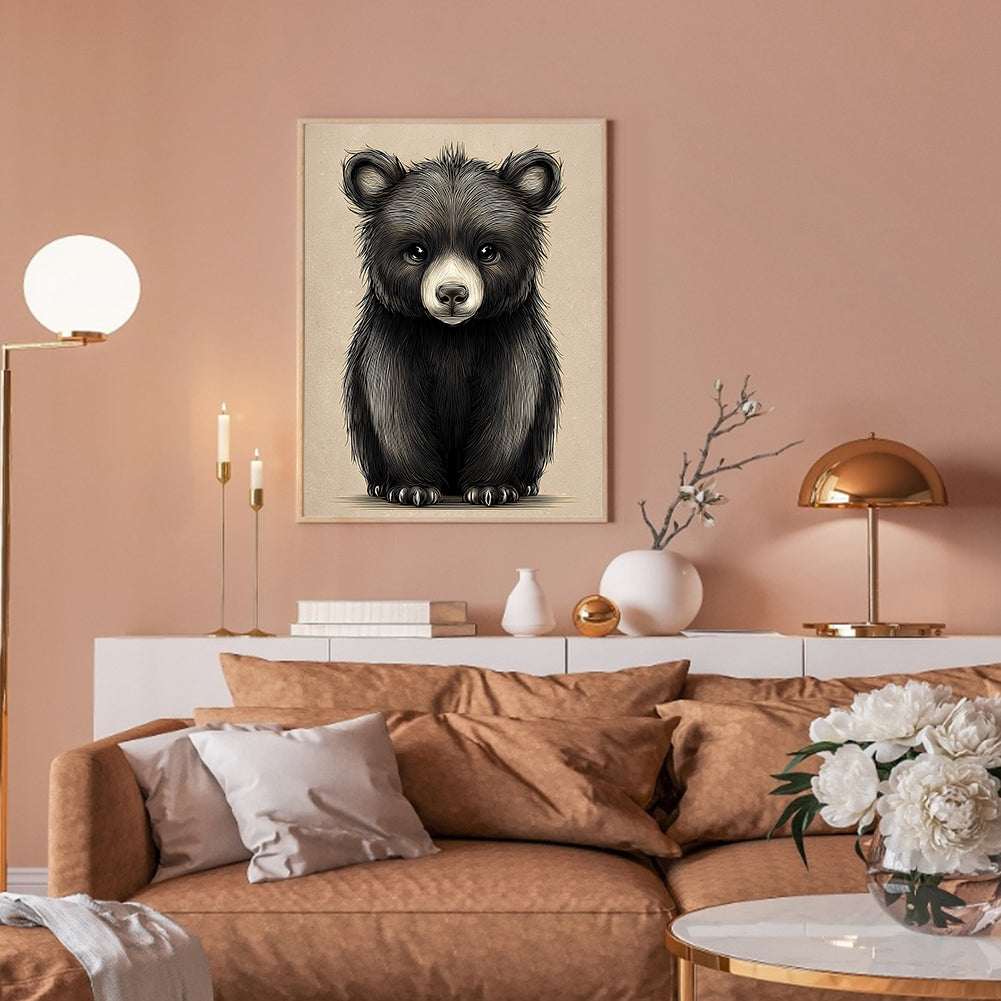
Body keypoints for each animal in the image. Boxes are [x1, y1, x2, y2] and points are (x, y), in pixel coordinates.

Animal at [340, 144, 563, 507]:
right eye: (417, 251)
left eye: (487, 251)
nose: (452, 293)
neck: (451, 334)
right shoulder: (395, 330)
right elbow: (395, 401)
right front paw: (412, 488)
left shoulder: (508, 330)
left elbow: (511, 401)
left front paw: (492, 488)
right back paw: (379, 485)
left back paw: (526, 484)